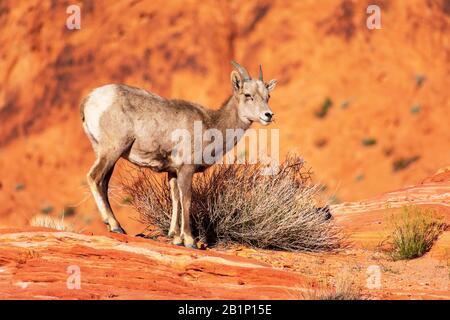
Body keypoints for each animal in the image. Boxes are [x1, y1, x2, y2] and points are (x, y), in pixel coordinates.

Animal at [81, 62, 278, 248]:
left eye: (267, 96)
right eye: (248, 95)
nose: (268, 115)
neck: (211, 125)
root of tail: (90, 100)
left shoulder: (173, 172)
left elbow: (175, 199)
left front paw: (176, 238)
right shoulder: (186, 170)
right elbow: (186, 200)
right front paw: (190, 241)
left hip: (105, 153)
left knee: (103, 183)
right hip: (112, 150)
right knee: (94, 177)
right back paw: (115, 226)